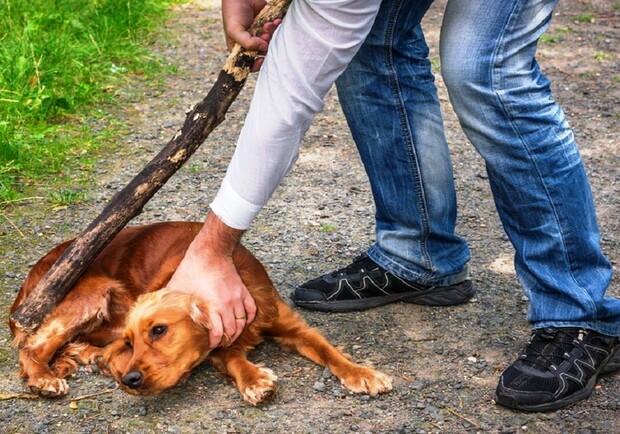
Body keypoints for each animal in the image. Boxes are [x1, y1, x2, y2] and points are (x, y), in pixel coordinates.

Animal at [10, 222, 392, 406]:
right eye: (133, 341)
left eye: (159, 330)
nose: (129, 380)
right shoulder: (218, 346)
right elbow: (234, 359)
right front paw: (255, 381)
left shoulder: (291, 325)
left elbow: (329, 351)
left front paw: (362, 373)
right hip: (92, 293)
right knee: (31, 348)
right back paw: (45, 378)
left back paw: (90, 357)